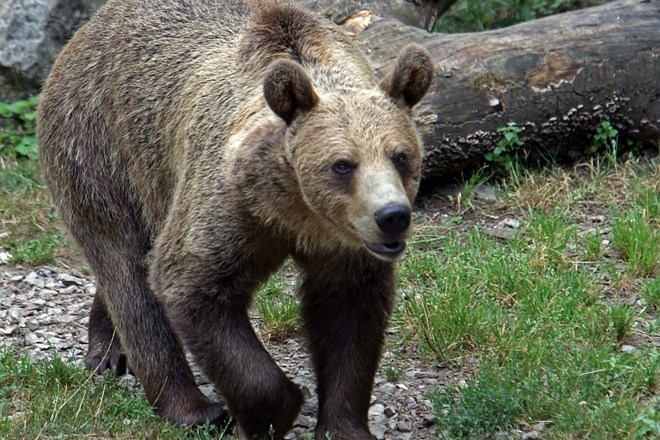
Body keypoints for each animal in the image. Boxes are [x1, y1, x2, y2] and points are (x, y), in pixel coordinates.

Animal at [38, 0, 436, 440]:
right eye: (342, 165)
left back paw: (108, 350)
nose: (392, 216)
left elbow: (349, 315)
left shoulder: (344, 245)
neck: (292, 212)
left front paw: (343, 426)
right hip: (100, 149)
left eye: (401, 156)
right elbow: (190, 284)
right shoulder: (227, 205)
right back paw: (188, 406)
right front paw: (274, 410)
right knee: (125, 269)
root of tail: (86, 29)